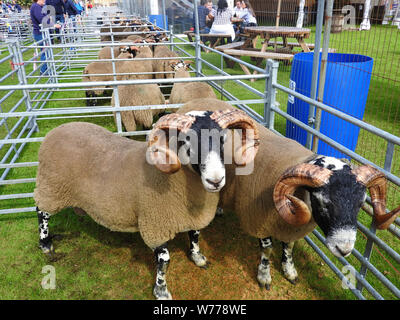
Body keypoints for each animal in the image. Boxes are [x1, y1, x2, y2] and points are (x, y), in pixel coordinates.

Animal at [177, 99, 400, 290]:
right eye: (323, 202)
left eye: (360, 203)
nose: (344, 249)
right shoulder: (259, 219)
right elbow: (267, 250)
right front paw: (264, 276)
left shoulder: (290, 226)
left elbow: (289, 247)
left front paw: (289, 270)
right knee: (194, 226)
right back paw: (197, 256)